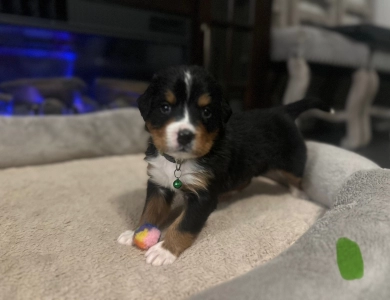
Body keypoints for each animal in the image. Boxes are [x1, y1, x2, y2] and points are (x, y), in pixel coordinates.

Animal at [122, 65, 330, 264]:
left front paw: (164, 251)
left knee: (296, 177)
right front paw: (134, 233)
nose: (185, 135)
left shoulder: (202, 196)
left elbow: (183, 225)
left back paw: (299, 193)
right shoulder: (158, 183)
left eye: (206, 112)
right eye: (165, 107)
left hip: (292, 160)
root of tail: (283, 110)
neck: (180, 162)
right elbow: (150, 211)